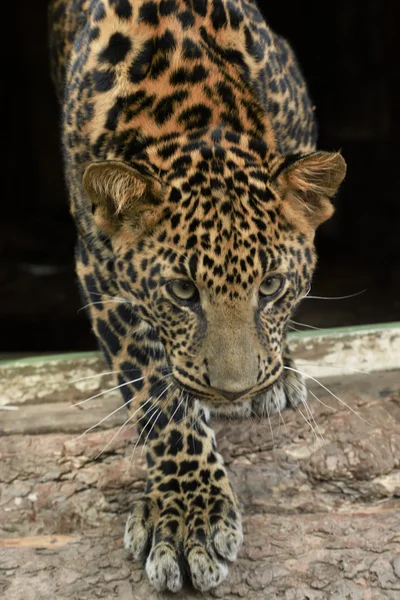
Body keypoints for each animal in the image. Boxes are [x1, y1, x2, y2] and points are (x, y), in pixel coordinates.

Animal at [49, 0, 344, 592]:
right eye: (183, 291)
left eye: (271, 286)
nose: (233, 391)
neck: (195, 113)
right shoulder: (99, 269)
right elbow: (158, 397)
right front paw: (188, 516)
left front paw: (278, 373)